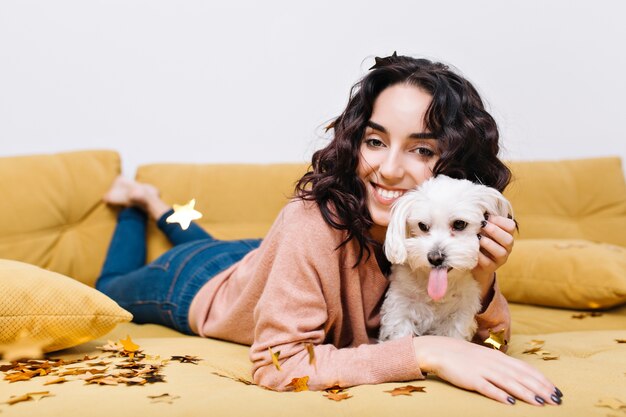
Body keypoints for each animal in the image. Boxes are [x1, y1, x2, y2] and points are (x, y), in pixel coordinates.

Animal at [378, 174, 510, 340]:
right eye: (422, 226)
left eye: (459, 224)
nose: (435, 258)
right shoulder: (399, 307)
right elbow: (400, 335)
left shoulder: (459, 315)